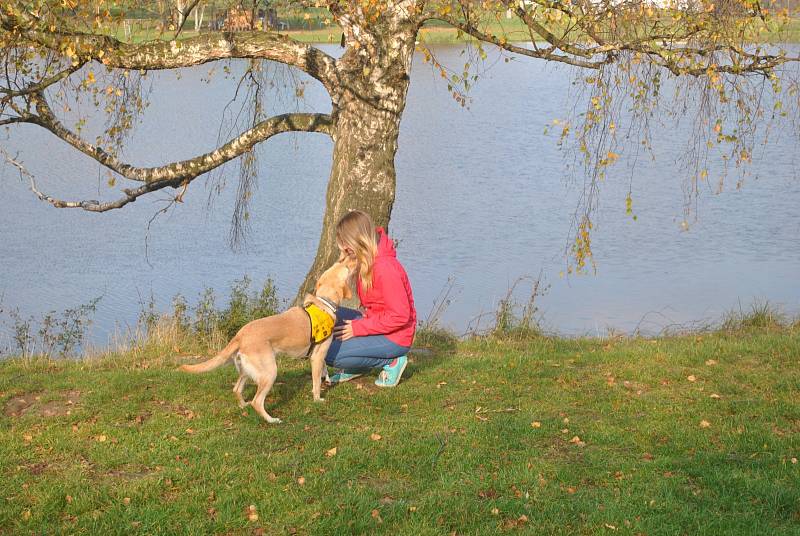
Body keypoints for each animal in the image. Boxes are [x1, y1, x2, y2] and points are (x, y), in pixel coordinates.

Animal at [181, 262, 356, 426]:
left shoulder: (318, 356)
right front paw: (318, 399)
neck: (324, 303)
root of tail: (240, 335)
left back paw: (244, 405)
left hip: (247, 370)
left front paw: (327, 379)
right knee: (257, 401)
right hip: (270, 371)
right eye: (345, 267)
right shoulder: (318, 355)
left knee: (237, 389)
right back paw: (271, 420)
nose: (349, 260)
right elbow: (316, 382)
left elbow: (323, 370)